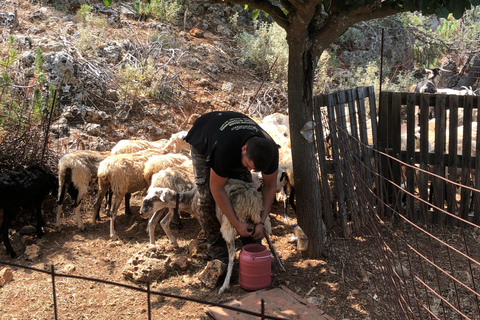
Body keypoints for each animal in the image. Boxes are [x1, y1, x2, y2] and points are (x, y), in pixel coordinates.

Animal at [141, 179, 272, 294]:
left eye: (151, 199)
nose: (141, 213)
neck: (190, 200)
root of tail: (250, 199)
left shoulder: (202, 218)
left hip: (230, 223)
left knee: (232, 255)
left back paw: (224, 286)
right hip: (260, 219)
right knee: (266, 240)